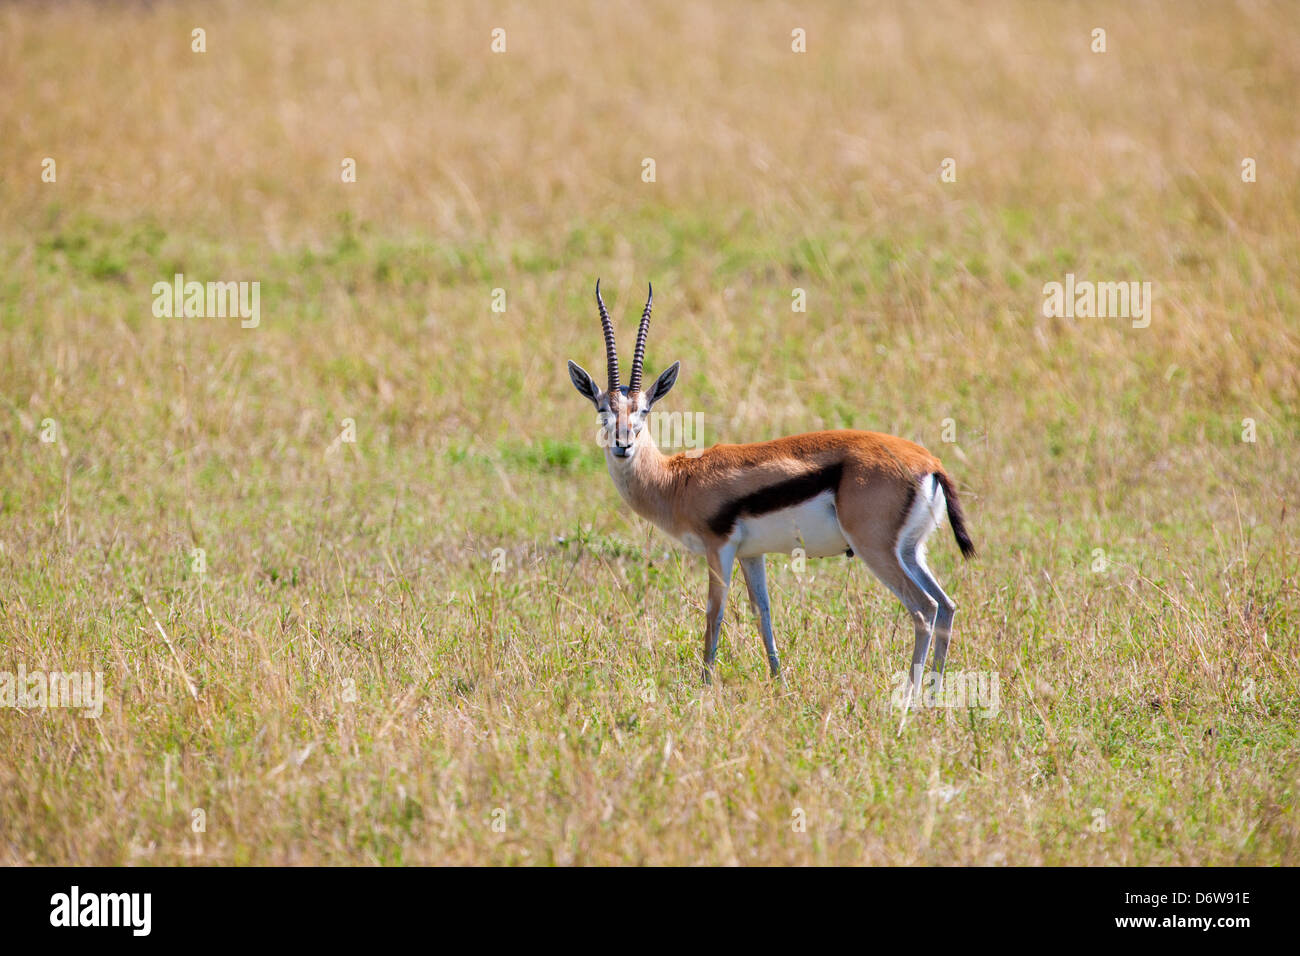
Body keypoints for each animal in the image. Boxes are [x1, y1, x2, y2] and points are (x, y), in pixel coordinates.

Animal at [567, 281, 975, 698]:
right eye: (602, 409)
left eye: (644, 410)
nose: (623, 445)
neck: (677, 480)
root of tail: (929, 462)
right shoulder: (752, 554)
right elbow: (762, 610)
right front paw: (779, 680)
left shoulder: (718, 548)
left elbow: (715, 612)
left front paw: (705, 685)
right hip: (910, 550)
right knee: (946, 605)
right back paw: (934, 692)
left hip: (875, 549)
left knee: (923, 608)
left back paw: (909, 696)